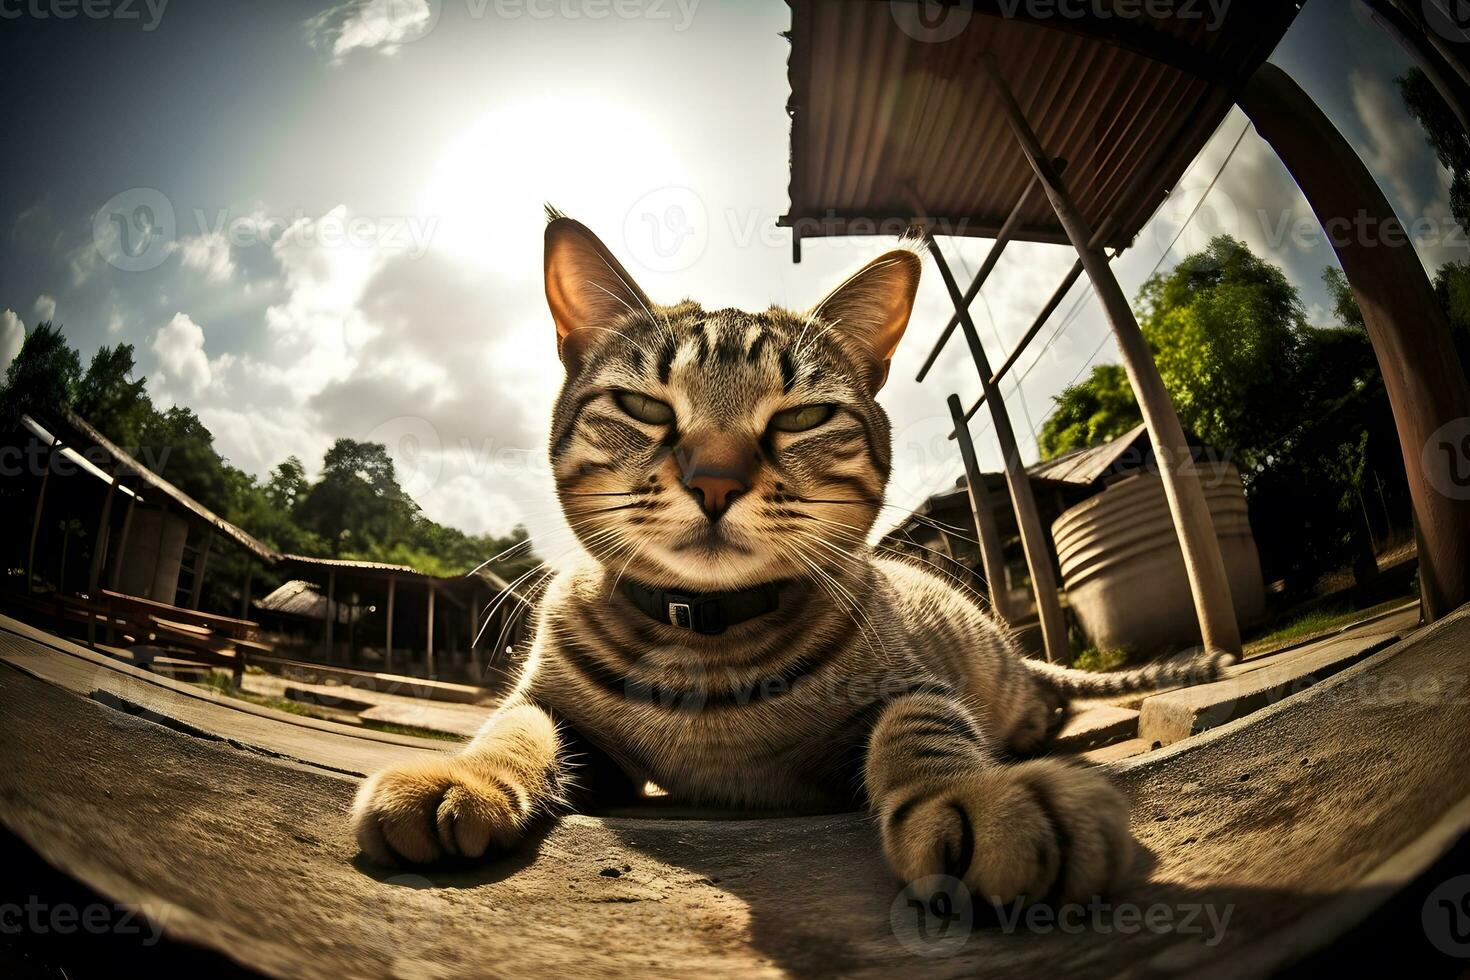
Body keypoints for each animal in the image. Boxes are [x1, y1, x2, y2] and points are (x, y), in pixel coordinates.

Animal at [349, 213, 1234, 905]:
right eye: (642, 406)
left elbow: (925, 728)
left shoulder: (905, 690)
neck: (703, 656)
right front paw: (457, 776)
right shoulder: (565, 718)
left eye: (803, 417)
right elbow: (512, 726)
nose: (713, 478)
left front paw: (981, 795)